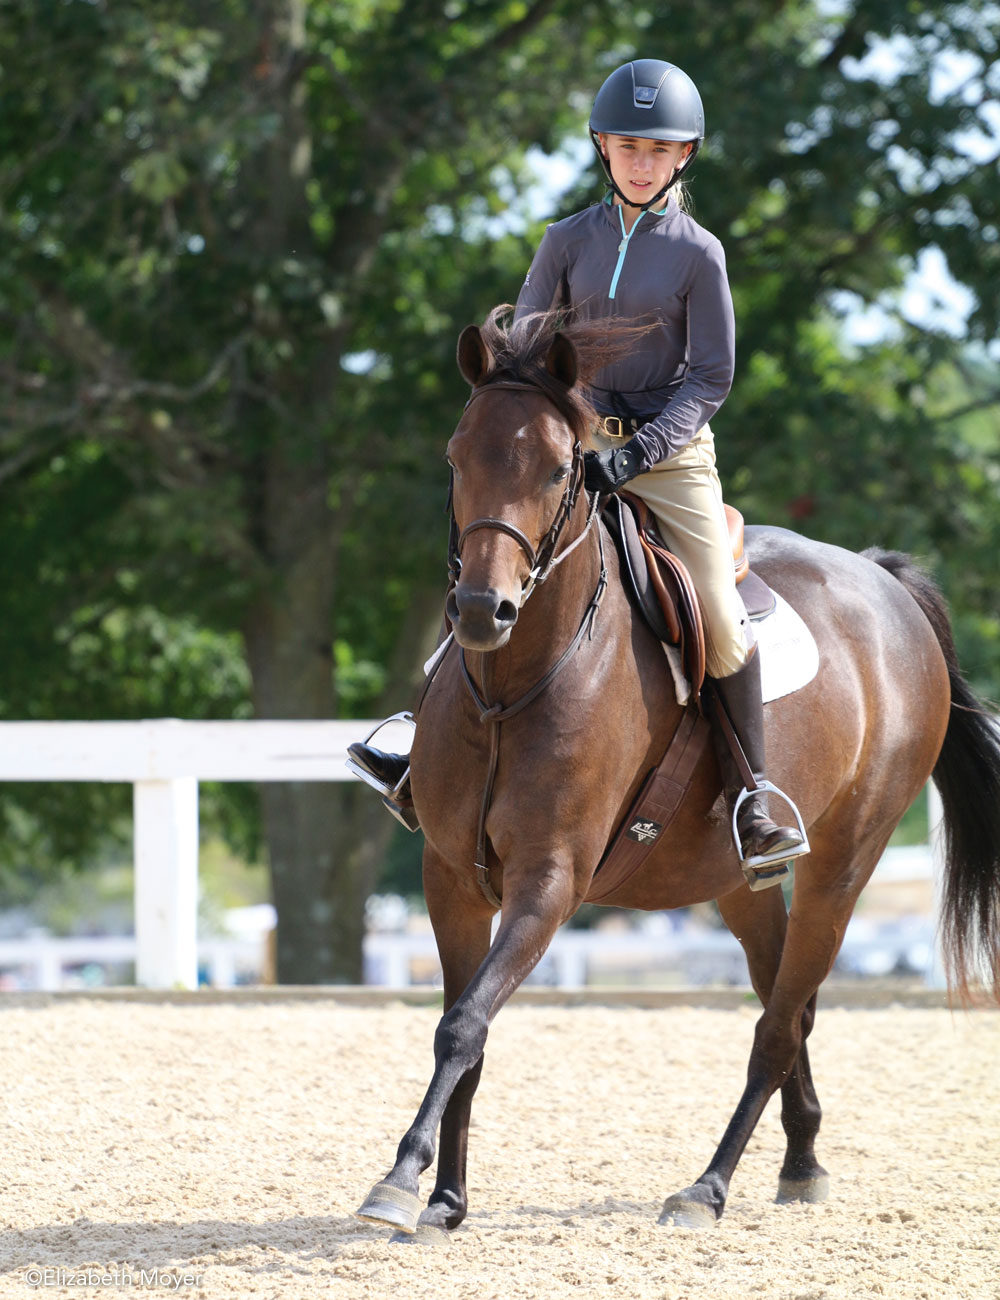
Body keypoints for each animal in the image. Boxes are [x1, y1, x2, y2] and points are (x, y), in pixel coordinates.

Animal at [356, 304, 998, 1237]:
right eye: (455, 456)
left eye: (559, 467)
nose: (482, 611)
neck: (515, 684)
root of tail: (883, 582)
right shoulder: (451, 876)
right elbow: (462, 1026)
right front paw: (446, 1198)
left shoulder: (548, 881)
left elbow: (464, 1024)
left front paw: (400, 1180)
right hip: (740, 882)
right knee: (787, 1003)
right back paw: (801, 1162)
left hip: (844, 867)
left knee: (777, 1027)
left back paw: (708, 1187)